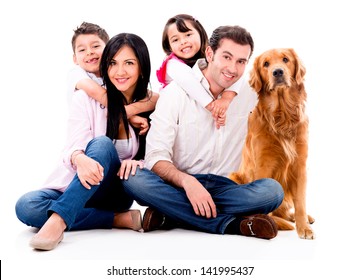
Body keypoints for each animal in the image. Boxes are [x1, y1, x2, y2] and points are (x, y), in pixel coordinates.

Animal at [231, 48, 316, 238]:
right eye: (266, 64)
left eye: (285, 59)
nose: (277, 72)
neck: (282, 115)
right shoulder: (263, 164)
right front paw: (264, 223)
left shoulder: (300, 165)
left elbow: (300, 201)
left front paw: (304, 227)